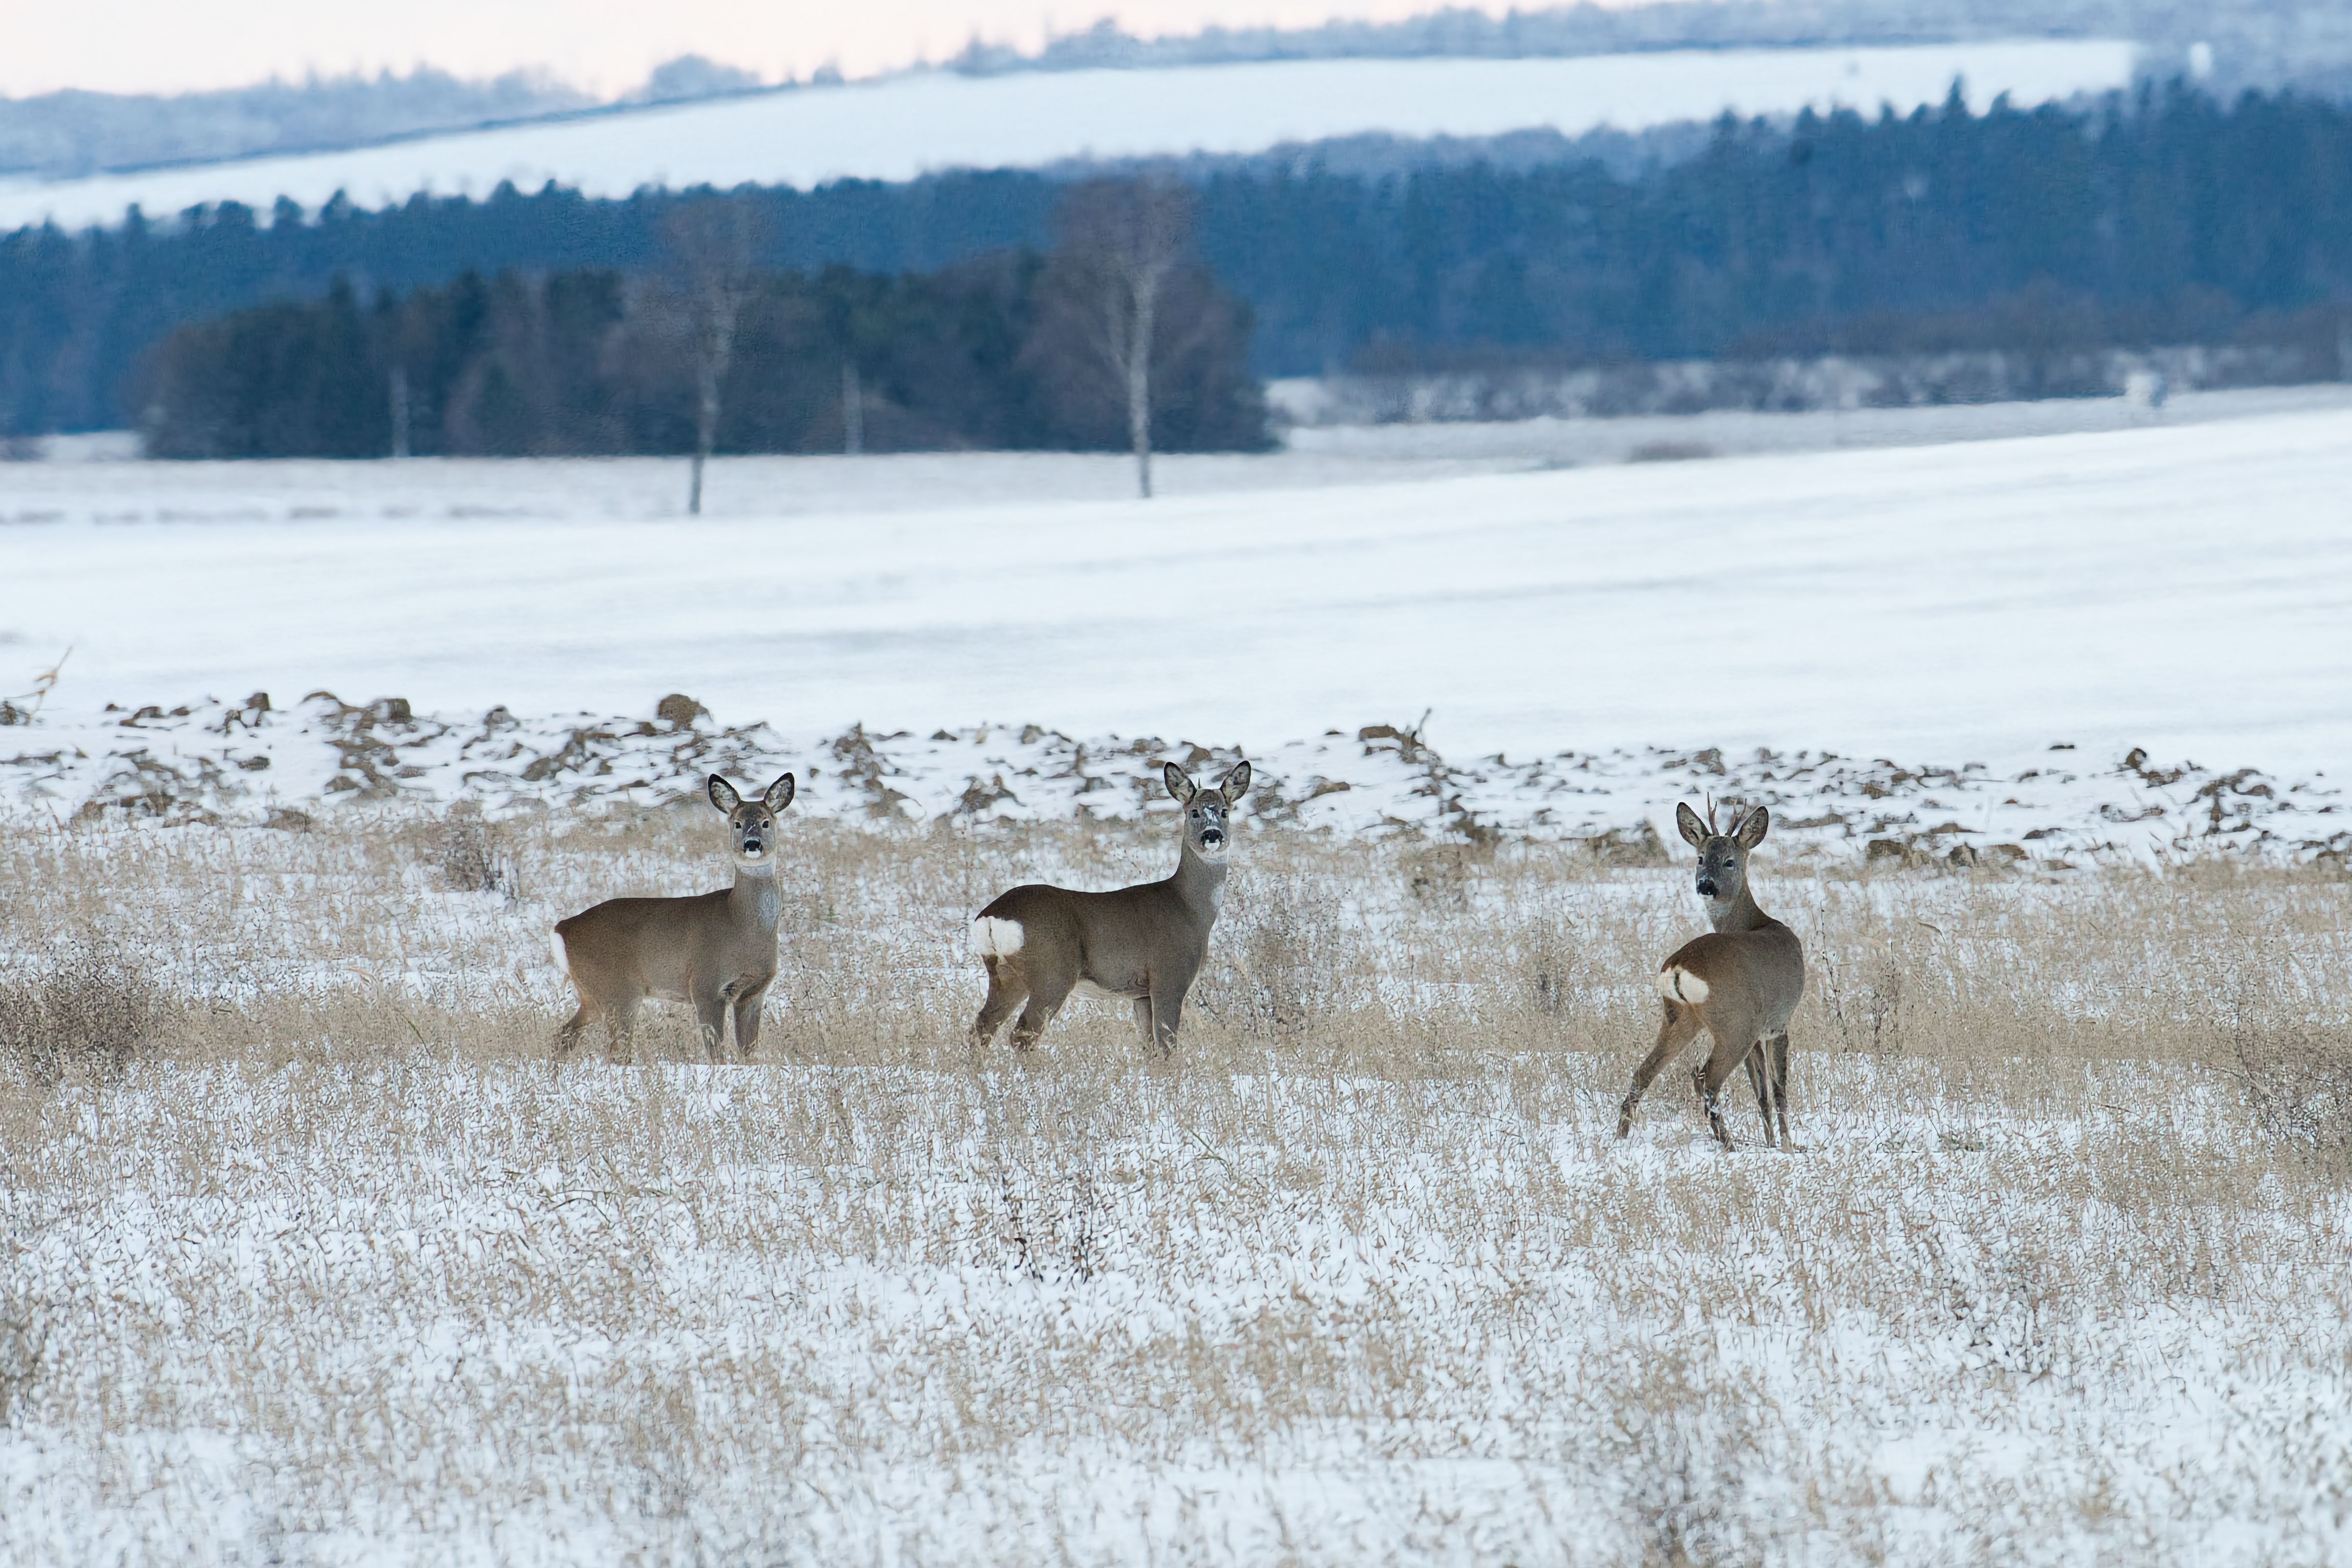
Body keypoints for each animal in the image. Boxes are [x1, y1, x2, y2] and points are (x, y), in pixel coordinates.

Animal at [551, 774, 795, 1061]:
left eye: (766, 822)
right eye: (737, 823)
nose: (752, 844)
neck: (742, 925)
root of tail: (563, 928)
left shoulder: (754, 992)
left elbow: (747, 1051)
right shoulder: (705, 985)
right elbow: (716, 1052)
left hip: (592, 993)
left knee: (565, 1034)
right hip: (617, 989)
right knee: (616, 1052)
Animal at [967, 760, 1251, 1055]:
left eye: (1225, 812)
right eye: (1194, 812)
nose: (1212, 835)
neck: (1189, 909)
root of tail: (991, 917)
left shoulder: (1141, 993)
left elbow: (1150, 1047)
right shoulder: (1169, 976)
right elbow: (1167, 1045)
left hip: (1005, 976)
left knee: (982, 1027)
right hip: (1051, 973)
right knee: (1022, 1034)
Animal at [1616, 803, 1807, 1151]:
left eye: (1729, 861)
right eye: (1701, 858)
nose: (1706, 884)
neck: (1756, 921)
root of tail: (1678, 966)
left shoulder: (1759, 1033)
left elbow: (1761, 1093)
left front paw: (1772, 1143)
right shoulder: (1777, 1023)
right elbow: (1778, 1090)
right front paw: (1787, 1145)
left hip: (1681, 1017)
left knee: (1642, 1074)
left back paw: (1620, 1138)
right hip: (1734, 1023)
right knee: (1706, 1079)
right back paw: (1728, 1143)